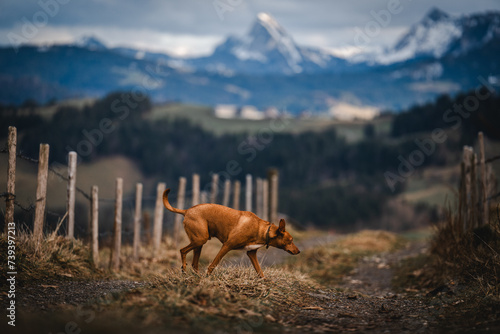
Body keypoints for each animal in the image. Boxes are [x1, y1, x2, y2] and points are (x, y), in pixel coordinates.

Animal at [163, 188, 300, 276]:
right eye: (290, 241)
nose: (299, 251)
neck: (261, 229)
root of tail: (187, 211)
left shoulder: (251, 253)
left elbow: (260, 272)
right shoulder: (227, 246)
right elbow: (213, 265)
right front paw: (207, 277)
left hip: (199, 242)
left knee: (194, 263)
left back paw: (195, 276)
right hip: (200, 239)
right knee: (182, 251)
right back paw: (184, 270)